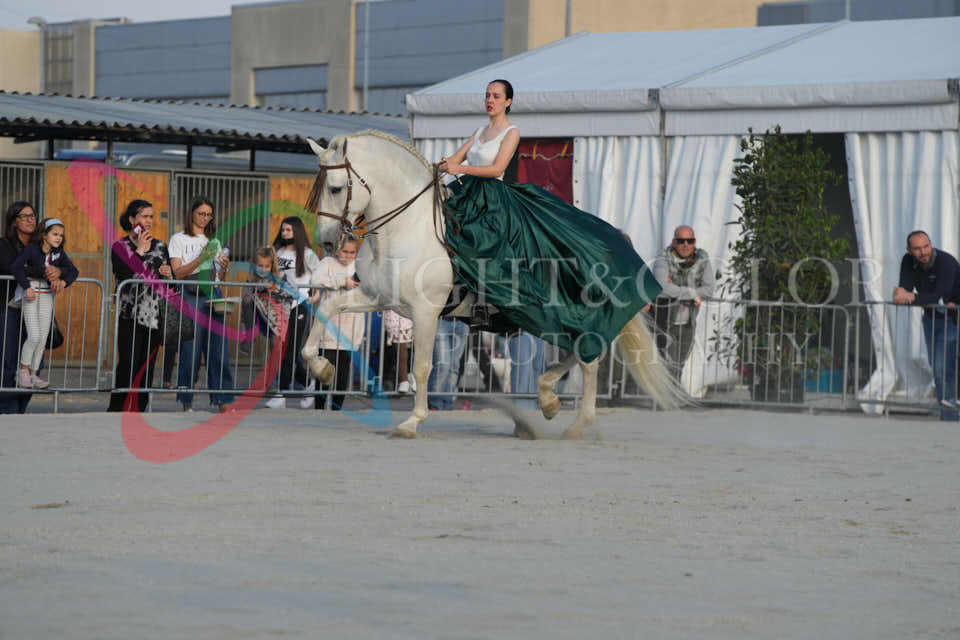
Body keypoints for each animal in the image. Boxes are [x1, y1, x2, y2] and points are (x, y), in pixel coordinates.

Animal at [299, 130, 686, 439]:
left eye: (336, 188)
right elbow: (328, 309)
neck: (407, 227)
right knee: (580, 353)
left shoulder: (425, 311)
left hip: (568, 314)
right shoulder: (379, 297)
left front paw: (411, 422)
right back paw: (547, 399)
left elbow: (421, 368)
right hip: (549, 317)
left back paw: (577, 425)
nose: (328, 242)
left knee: (590, 358)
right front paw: (322, 368)